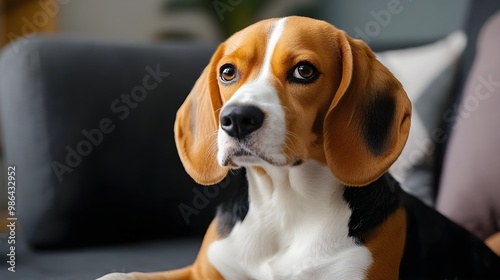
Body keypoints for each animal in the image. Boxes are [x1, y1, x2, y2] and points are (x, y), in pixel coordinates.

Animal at [101, 17, 500, 280]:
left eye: (304, 71)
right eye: (228, 72)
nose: (236, 118)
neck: (284, 206)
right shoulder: (204, 270)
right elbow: (124, 276)